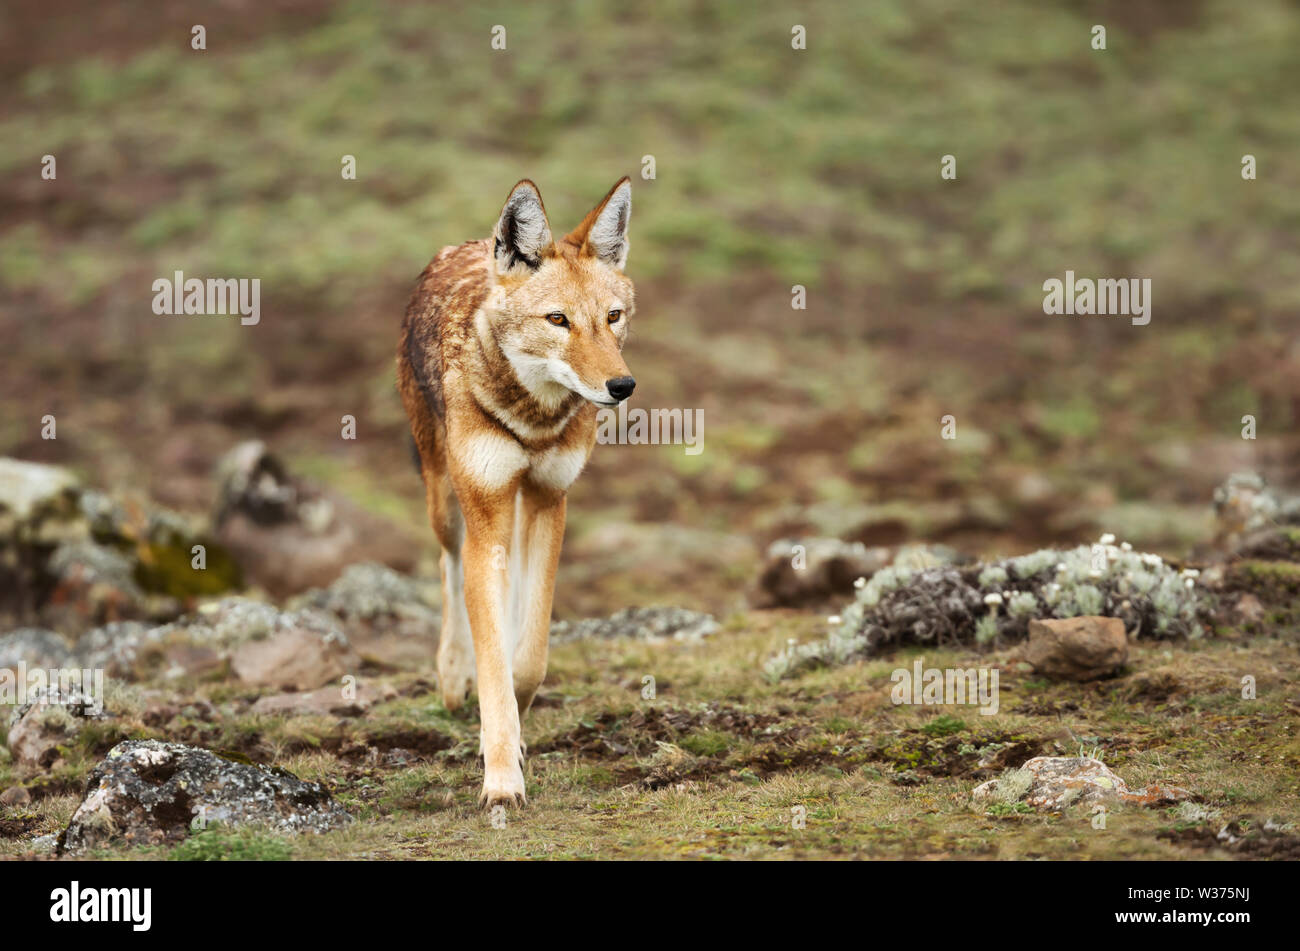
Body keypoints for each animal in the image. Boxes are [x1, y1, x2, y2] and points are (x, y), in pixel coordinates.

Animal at [397, 180, 637, 810]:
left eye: (612, 317)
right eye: (558, 320)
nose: (622, 385)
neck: (534, 419)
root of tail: (464, 245)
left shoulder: (550, 502)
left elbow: (526, 657)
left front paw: (513, 740)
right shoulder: (486, 511)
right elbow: (494, 659)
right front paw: (502, 781)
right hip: (446, 503)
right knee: (450, 566)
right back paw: (453, 674)